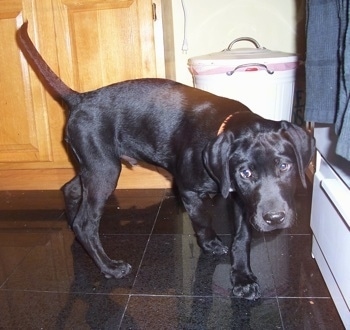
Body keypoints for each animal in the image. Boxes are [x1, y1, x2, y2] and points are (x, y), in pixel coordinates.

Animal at [16, 21, 314, 300]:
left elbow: (242, 237)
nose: (274, 219)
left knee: (70, 190)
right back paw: (109, 266)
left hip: (94, 165)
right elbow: (202, 221)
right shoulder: (189, 190)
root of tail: (80, 99)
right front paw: (211, 244)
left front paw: (243, 278)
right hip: (104, 170)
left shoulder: (244, 199)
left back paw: (73, 228)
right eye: (247, 173)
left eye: (284, 166)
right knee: (86, 223)